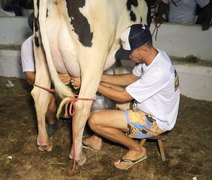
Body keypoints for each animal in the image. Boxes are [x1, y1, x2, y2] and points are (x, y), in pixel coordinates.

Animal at [31, 0, 147, 165]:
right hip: (94, 58)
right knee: (82, 106)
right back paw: (78, 156)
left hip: (40, 51)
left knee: (40, 94)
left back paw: (44, 142)